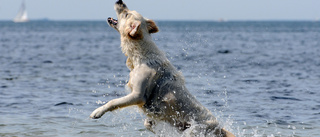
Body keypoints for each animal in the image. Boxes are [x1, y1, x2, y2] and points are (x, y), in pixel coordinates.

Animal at [90, 0, 235, 136]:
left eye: (126, 14)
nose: (120, 1)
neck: (142, 55)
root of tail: (220, 128)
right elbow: (147, 122)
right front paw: (151, 124)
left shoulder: (138, 95)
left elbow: (113, 101)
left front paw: (97, 112)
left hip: (196, 130)